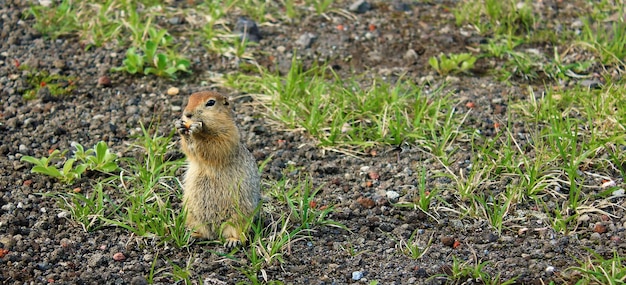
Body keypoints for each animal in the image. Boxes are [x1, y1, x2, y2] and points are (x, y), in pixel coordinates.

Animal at [173, 90, 258, 245]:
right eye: (189, 99)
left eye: (210, 102)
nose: (187, 114)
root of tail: (215, 232)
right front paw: (180, 126)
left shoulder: (229, 133)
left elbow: (216, 145)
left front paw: (196, 131)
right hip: (192, 215)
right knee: (204, 233)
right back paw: (194, 235)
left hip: (238, 217)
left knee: (238, 233)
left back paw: (232, 241)